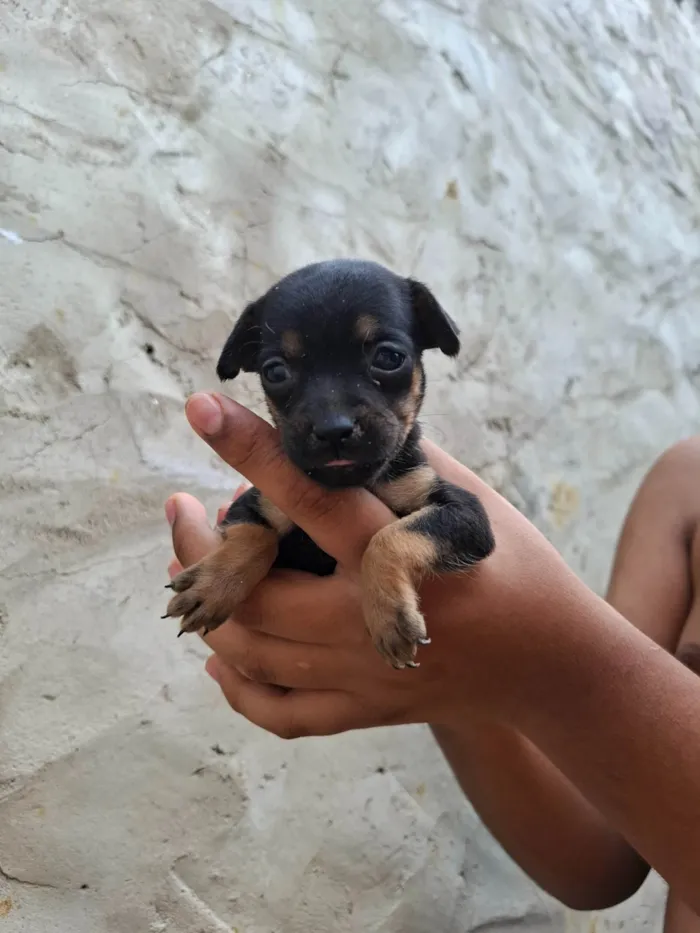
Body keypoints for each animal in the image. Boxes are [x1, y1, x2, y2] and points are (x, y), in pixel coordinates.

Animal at [165, 258, 494, 668]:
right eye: (275, 372)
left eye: (389, 358)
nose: (333, 429)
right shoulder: (253, 503)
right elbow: (256, 536)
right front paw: (214, 585)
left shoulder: (466, 514)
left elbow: (390, 537)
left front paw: (388, 614)